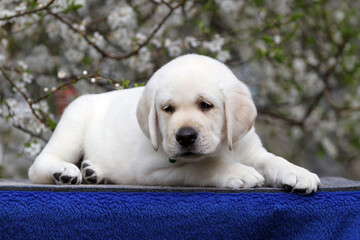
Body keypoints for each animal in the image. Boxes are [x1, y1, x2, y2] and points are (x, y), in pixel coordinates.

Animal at [28, 54, 320, 193]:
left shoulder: (252, 151)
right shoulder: (150, 169)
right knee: (39, 164)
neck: (222, 147)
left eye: (206, 105)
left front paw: (298, 173)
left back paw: (94, 171)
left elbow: (273, 160)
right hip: (73, 123)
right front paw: (237, 172)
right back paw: (65, 171)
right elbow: (199, 166)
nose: (185, 137)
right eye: (167, 109)